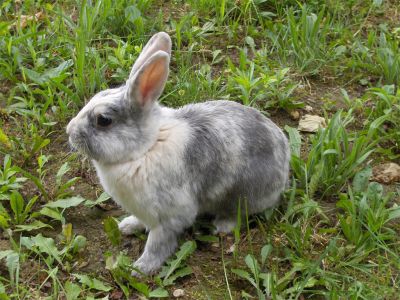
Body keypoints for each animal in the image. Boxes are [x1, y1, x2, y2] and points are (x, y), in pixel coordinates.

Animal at [66, 31, 290, 276]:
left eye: (103, 120)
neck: (145, 149)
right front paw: (127, 226)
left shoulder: (168, 217)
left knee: (237, 212)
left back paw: (221, 225)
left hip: (241, 194)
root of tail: (285, 162)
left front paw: (141, 268)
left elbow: (157, 243)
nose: (69, 131)